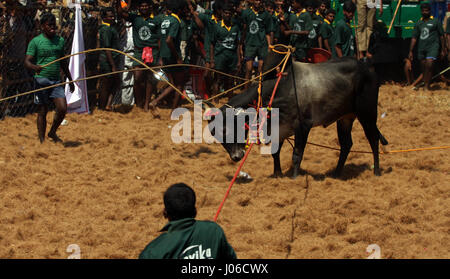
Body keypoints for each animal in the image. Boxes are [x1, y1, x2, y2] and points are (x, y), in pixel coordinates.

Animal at [207, 45, 386, 177]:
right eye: (215, 134)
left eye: (225, 129)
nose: (236, 157)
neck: (277, 90)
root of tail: (368, 69)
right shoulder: (278, 129)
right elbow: (275, 153)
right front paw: (277, 175)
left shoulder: (303, 126)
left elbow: (296, 156)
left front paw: (294, 179)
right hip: (345, 118)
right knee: (346, 144)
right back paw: (336, 173)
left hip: (367, 113)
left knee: (373, 139)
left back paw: (376, 172)